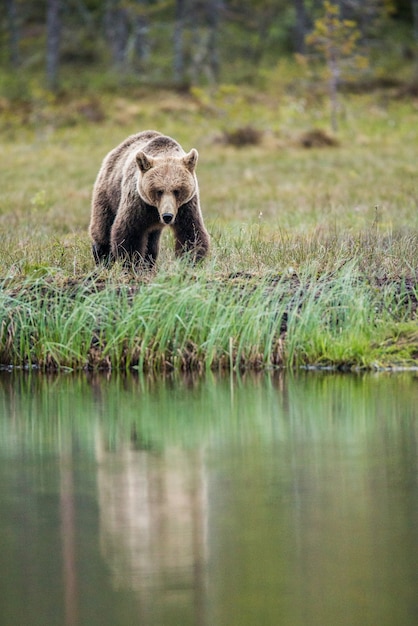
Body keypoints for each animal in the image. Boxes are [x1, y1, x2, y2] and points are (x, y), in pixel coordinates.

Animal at [89, 130, 211, 266]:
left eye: (177, 191)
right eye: (159, 191)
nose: (167, 216)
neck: (155, 209)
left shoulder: (186, 206)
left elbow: (191, 233)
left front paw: (190, 261)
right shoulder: (138, 203)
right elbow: (129, 233)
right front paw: (132, 263)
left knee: (151, 243)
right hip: (109, 192)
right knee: (103, 227)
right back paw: (101, 257)